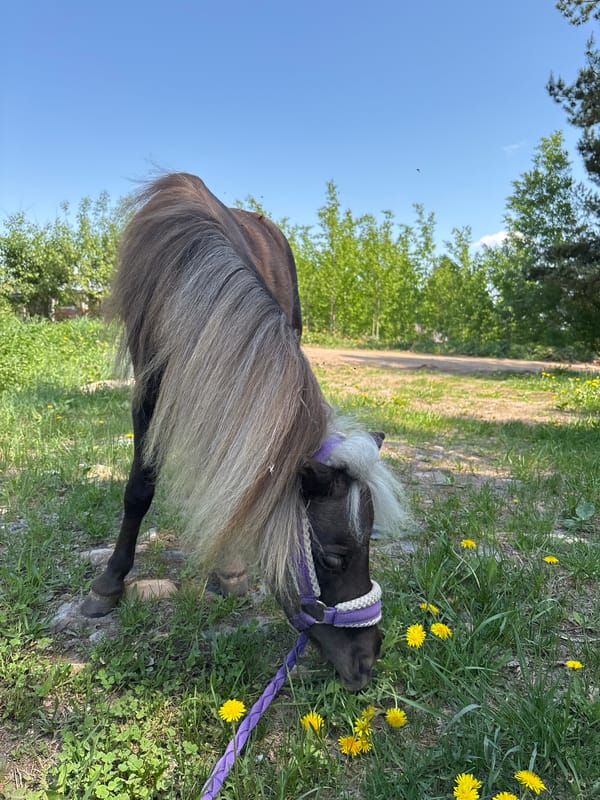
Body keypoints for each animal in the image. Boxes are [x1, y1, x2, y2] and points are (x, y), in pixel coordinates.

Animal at [81, 173, 407, 691]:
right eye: (334, 558)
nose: (368, 658)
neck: (190, 272)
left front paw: (230, 570)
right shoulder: (149, 386)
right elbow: (139, 488)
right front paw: (109, 584)